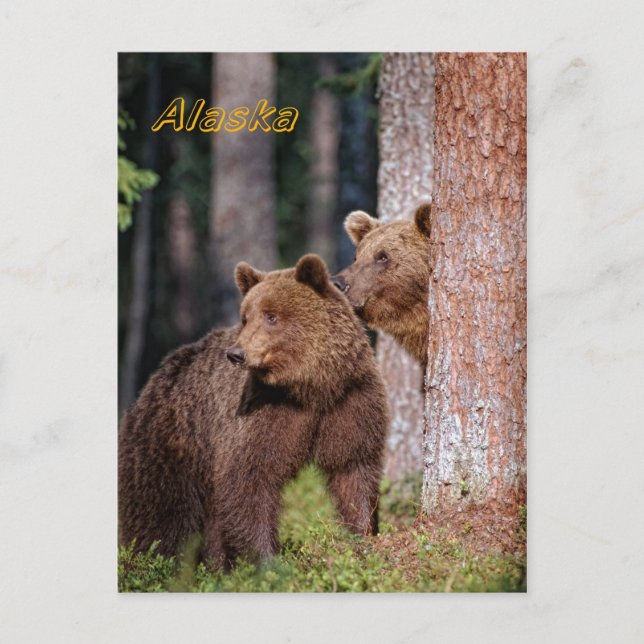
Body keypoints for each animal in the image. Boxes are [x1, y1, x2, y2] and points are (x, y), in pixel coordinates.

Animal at [118, 254, 389, 568]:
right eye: (246, 317)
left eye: (271, 316)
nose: (237, 353)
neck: (312, 387)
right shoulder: (260, 414)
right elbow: (250, 480)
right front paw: (267, 561)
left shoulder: (349, 403)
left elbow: (353, 470)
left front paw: (362, 535)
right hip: (169, 450)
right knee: (165, 515)